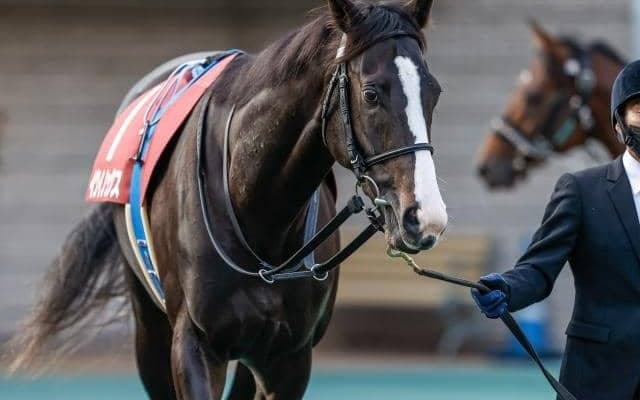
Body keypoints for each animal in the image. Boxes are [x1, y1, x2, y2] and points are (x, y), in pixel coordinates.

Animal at [11, 1, 447, 399]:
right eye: (371, 93)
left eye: (434, 92)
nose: (424, 216)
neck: (257, 213)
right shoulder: (195, 345)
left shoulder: (289, 357)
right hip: (150, 329)